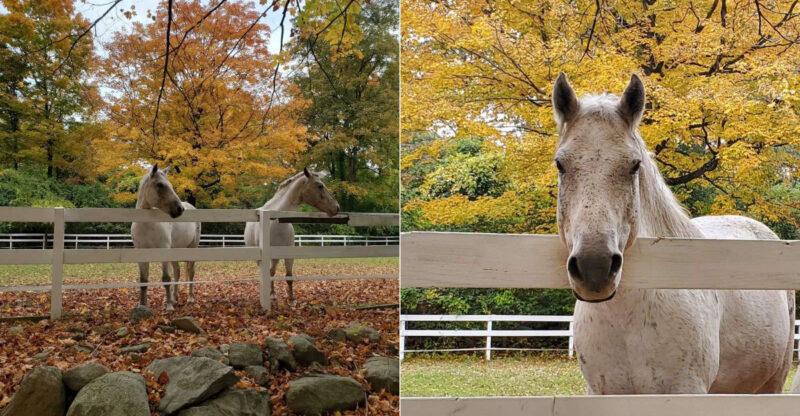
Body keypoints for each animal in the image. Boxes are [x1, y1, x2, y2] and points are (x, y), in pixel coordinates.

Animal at [131, 164, 201, 311]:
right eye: (160, 185)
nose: (180, 209)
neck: (147, 225)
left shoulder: (164, 251)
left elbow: (166, 278)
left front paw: (168, 306)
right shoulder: (141, 254)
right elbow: (143, 281)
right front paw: (142, 305)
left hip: (192, 248)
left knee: (191, 272)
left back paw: (190, 298)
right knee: (177, 271)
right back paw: (175, 298)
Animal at [244, 168, 340, 303]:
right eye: (320, 186)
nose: (337, 207)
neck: (276, 222)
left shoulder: (288, 254)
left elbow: (289, 276)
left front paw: (292, 299)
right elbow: (268, 274)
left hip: (276, 257)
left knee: (272, 272)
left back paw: (272, 294)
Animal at [551, 73, 795, 394]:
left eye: (634, 165)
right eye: (560, 164)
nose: (595, 267)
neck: (627, 322)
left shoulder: (686, 389)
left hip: (772, 383)